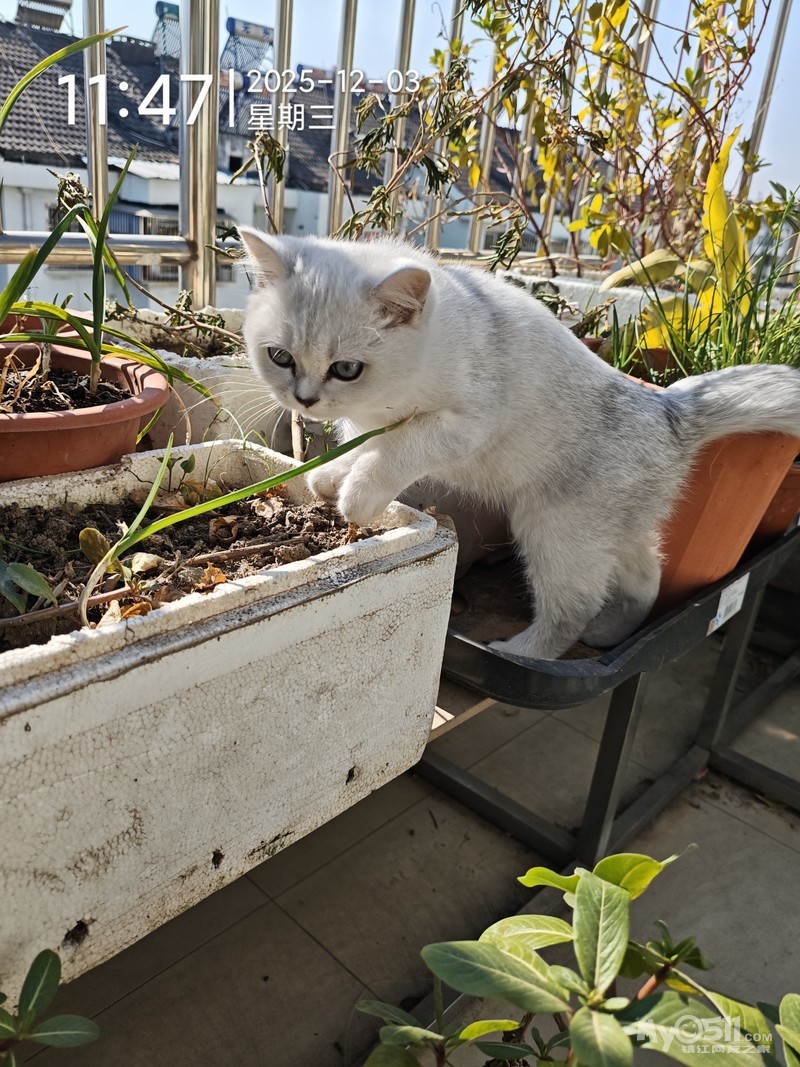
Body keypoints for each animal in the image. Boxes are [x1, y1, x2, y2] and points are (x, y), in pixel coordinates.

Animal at [238, 227, 800, 660]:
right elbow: (359, 448)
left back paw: (523, 651)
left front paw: (357, 497)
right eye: (281, 357)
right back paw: (610, 634)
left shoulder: (460, 425)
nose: (305, 400)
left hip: (555, 530)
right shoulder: (364, 423)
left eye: (347, 369)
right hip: (606, 532)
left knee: (574, 609)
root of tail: (666, 409)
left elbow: (396, 450)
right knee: (646, 575)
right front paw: (329, 477)